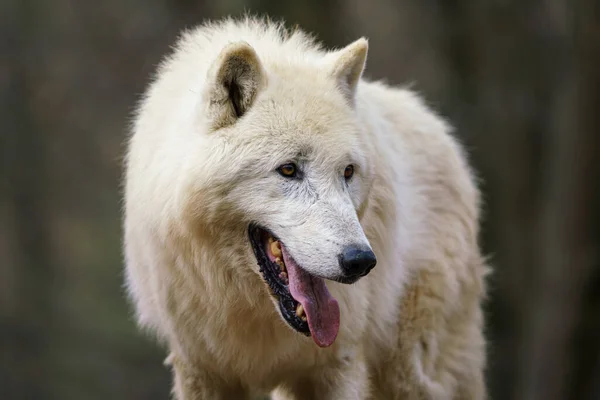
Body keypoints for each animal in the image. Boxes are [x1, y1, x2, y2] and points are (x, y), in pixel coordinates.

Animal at [122, 16, 488, 400]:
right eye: (288, 169)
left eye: (348, 172)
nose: (360, 261)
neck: (248, 308)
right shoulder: (201, 369)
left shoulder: (338, 365)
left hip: (412, 370)